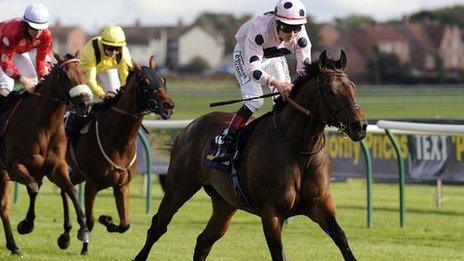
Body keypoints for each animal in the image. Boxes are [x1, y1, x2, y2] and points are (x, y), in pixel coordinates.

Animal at [0, 52, 93, 254]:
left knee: (3, 206)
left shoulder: (56, 167)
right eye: (65, 75)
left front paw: (81, 231)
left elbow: (71, 190)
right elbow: (33, 187)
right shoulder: (14, 166)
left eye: (84, 72)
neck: (44, 125)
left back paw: (13, 246)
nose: (85, 104)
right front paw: (26, 224)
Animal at [58, 57, 174, 254]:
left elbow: (125, 224)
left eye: (163, 80)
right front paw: (84, 248)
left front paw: (107, 220)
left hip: (78, 172)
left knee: (65, 189)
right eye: (145, 83)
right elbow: (90, 220)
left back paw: (65, 237)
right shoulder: (92, 183)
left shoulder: (122, 185)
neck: (117, 140)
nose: (168, 106)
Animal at [133, 50, 366, 260]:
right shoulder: (271, 212)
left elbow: (342, 240)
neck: (299, 150)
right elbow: (278, 253)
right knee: (158, 226)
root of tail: (189, 127)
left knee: (203, 241)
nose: (360, 126)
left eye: (353, 87)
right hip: (180, 187)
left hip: (225, 203)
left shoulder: (321, 205)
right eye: (329, 91)